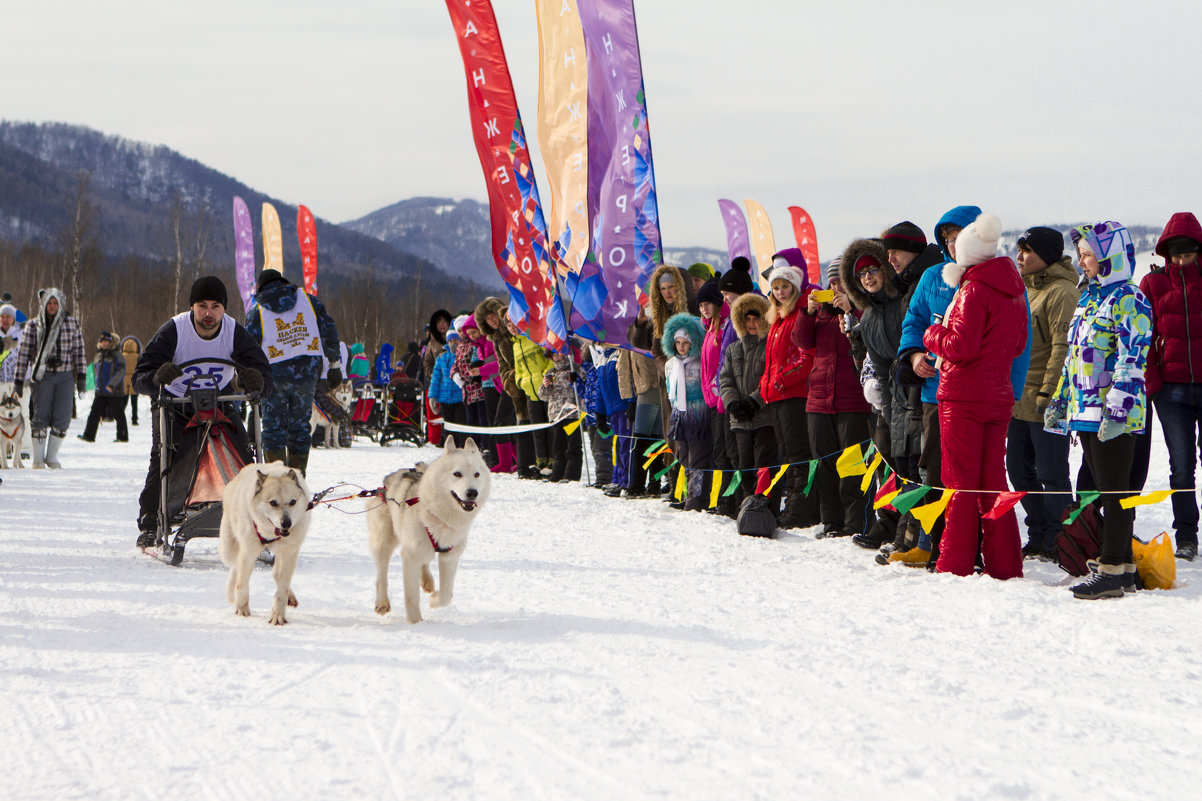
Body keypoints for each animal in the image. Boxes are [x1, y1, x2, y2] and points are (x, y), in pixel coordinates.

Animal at [217, 454, 310, 625]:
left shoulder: (288, 553)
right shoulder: (248, 551)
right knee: (234, 567)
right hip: (228, 547)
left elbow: (282, 587)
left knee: (276, 575)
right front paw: (242, 609)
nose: (286, 523)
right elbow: (242, 584)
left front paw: (278, 615)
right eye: (273, 502)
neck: (270, 533)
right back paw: (232, 593)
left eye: (293, 502)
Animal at [370, 432, 492, 620]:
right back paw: (382, 602)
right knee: (381, 575)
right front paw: (415, 622)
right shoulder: (411, 556)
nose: (472, 493)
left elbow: (447, 594)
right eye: (457, 473)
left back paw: (427, 581)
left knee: (425, 562)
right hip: (384, 541)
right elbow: (411, 597)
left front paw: (435, 601)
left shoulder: (450, 556)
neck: (441, 517)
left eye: (477, 474)